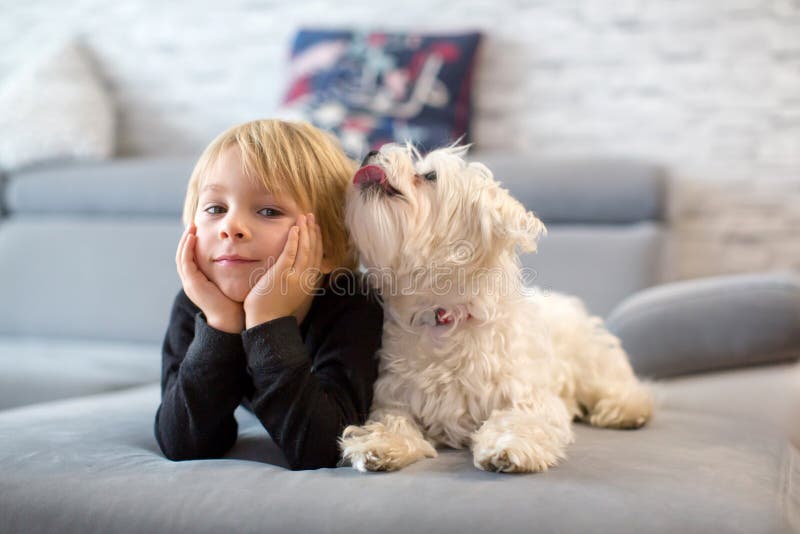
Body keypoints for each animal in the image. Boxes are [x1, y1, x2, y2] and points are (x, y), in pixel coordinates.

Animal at [338, 144, 648, 476]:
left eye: (430, 176)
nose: (371, 151)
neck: (443, 315)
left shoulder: (529, 398)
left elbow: (519, 420)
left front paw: (508, 448)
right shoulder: (394, 398)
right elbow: (392, 422)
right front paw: (379, 445)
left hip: (591, 362)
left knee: (623, 387)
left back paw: (624, 411)